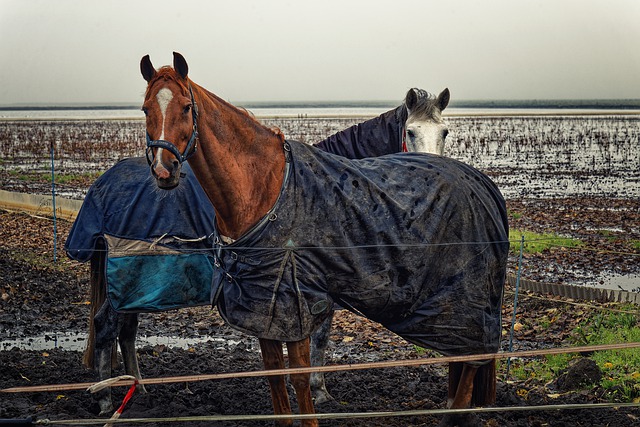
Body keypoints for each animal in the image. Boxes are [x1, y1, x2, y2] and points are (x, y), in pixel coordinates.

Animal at [141, 51, 510, 426]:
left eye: (186, 107)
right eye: (145, 109)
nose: (164, 170)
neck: (265, 189)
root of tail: (483, 184)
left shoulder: (299, 302)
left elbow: (302, 372)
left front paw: (317, 399)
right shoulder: (264, 310)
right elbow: (275, 376)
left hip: (465, 299)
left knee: (469, 357)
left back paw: (455, 414)